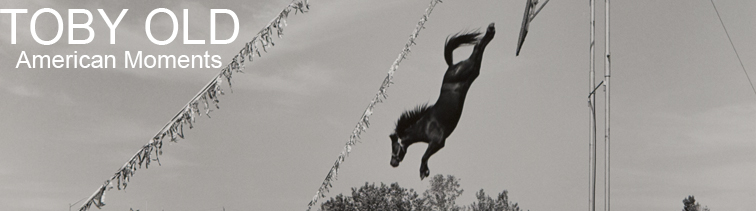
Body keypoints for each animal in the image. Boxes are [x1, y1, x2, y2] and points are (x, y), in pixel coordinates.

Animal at [390, 22, 496, 180]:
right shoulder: (435, 144)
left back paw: (490, 29)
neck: (424, 126)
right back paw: (491, 31)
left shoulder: (437, 142)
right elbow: (426, 157)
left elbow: (424, 156)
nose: (392, 163)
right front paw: (425, 170)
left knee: (476, 48)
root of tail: (451, 66)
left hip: (466, 69)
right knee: (478, 51)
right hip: (473, 70)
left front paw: (422, 171)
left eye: (394, 146)